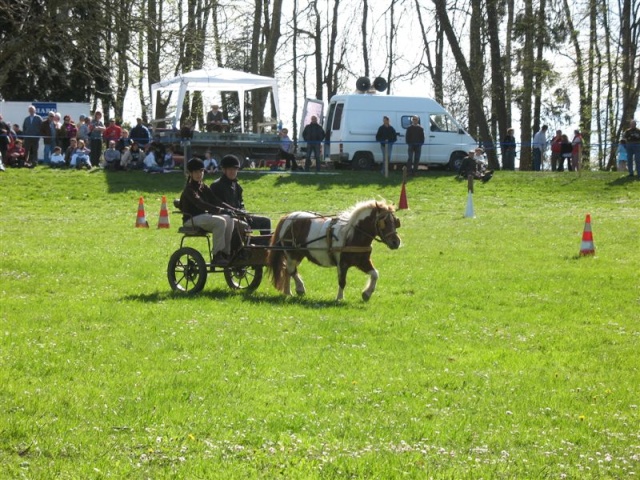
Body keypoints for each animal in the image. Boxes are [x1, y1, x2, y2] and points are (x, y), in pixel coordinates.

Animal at [268, 199, 402, 300]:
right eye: (384, 222)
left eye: (395, 221)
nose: (396, 242)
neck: (352, 234)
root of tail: (288, 217)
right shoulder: (342, 264)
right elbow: (342, 281)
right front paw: (339, 298)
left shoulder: (363, 261)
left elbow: (375, 274)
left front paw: (366, 294)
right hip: (292, 253)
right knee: (291, 270)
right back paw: (299, 288)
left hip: (298, 254)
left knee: (287, 270)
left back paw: (288, 292)